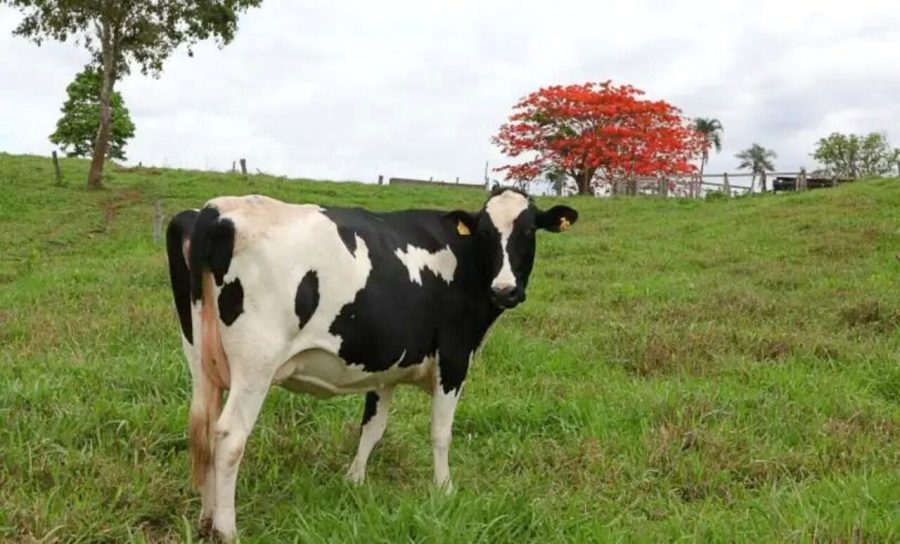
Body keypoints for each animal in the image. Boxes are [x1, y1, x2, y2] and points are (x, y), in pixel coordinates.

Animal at [167, 186, 576, 540]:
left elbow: (373, 428)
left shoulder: (386, 368)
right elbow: (440, 432)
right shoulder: (454, 358)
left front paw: (354, 480)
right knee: (229, 437)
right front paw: (444, 489)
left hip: (200, 359)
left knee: (203, 427)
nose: (505, 290)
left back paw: (206, 519)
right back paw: (226, 530)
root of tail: (215, 210)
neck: (465, 262)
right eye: (487, 233)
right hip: (256, 364)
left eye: (529, 230)